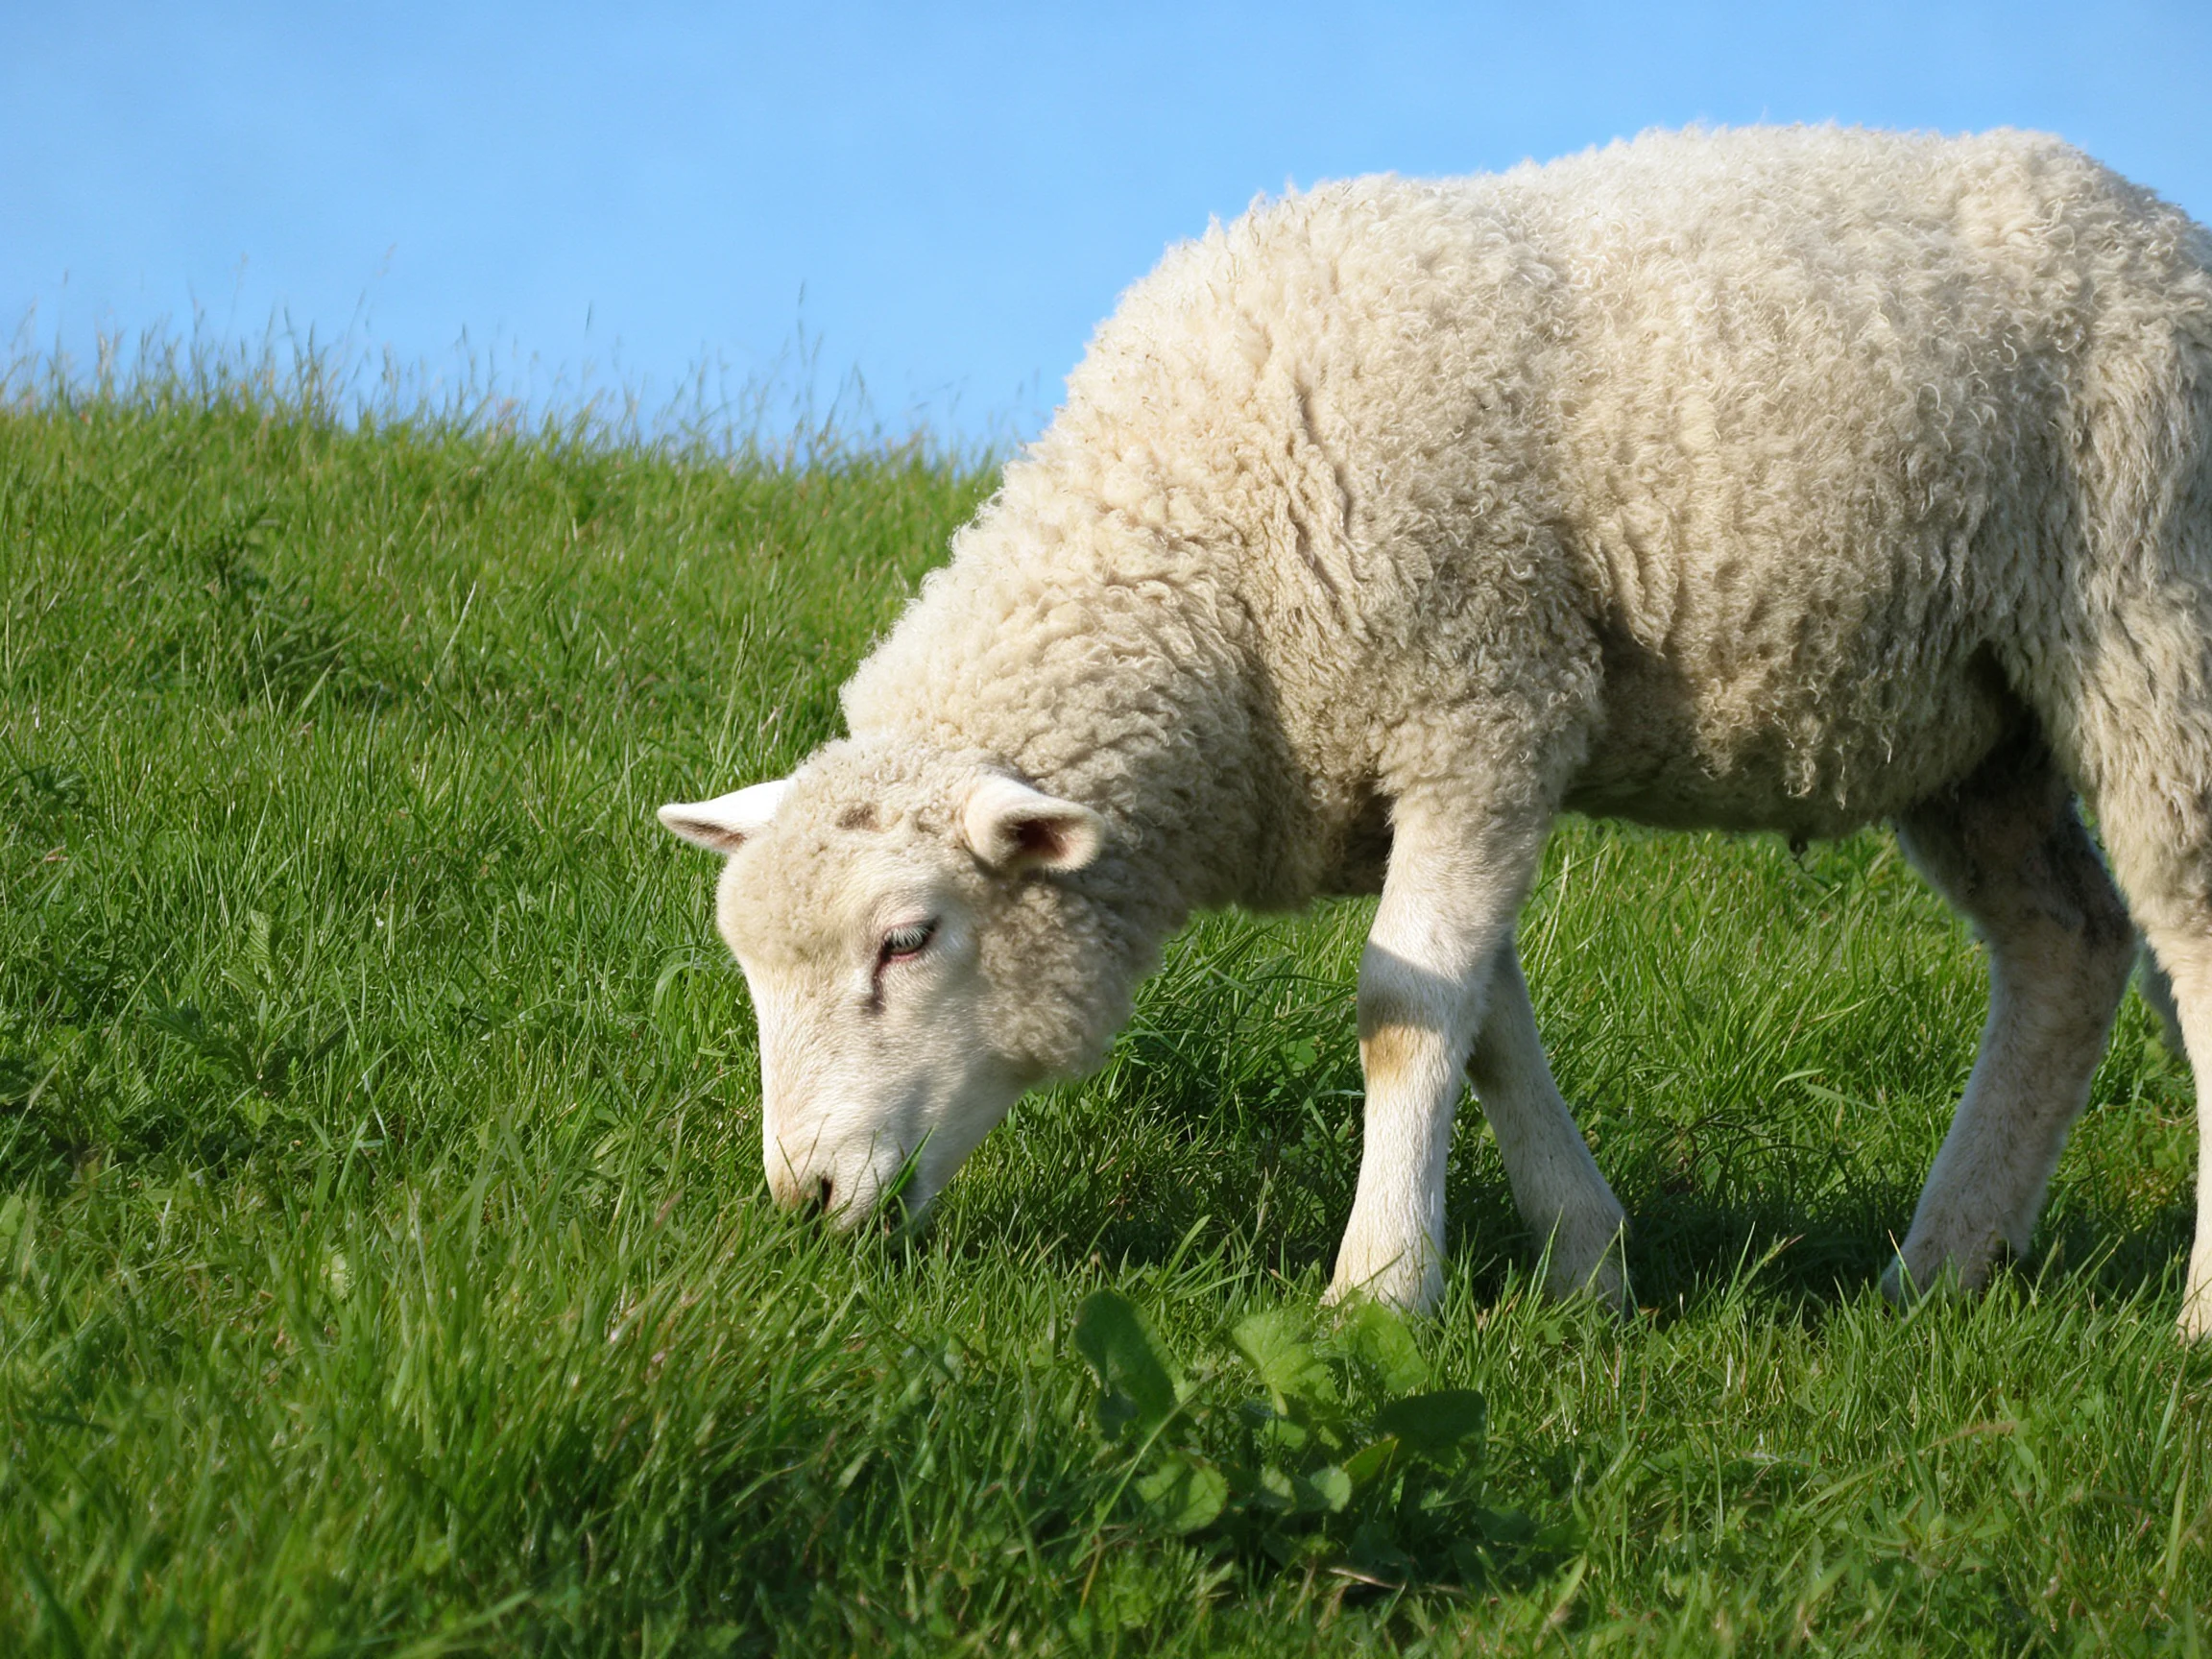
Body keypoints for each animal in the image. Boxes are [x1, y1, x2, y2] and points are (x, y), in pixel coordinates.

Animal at [660, 125, 2212, 1335]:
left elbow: (1403, 1020)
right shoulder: (1432, 768)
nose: (806, 1198)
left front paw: (1380, 1291)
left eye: (908, 941)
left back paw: (2189, 1317)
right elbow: (1483, 1021)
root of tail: (2165, 227)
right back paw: (1939, 1270)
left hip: (2143, 618)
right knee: (2068, 949)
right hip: (1975, 727)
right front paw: (1588, 1266)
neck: (1214, 555)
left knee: (2184, 930)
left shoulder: (1485, 704)